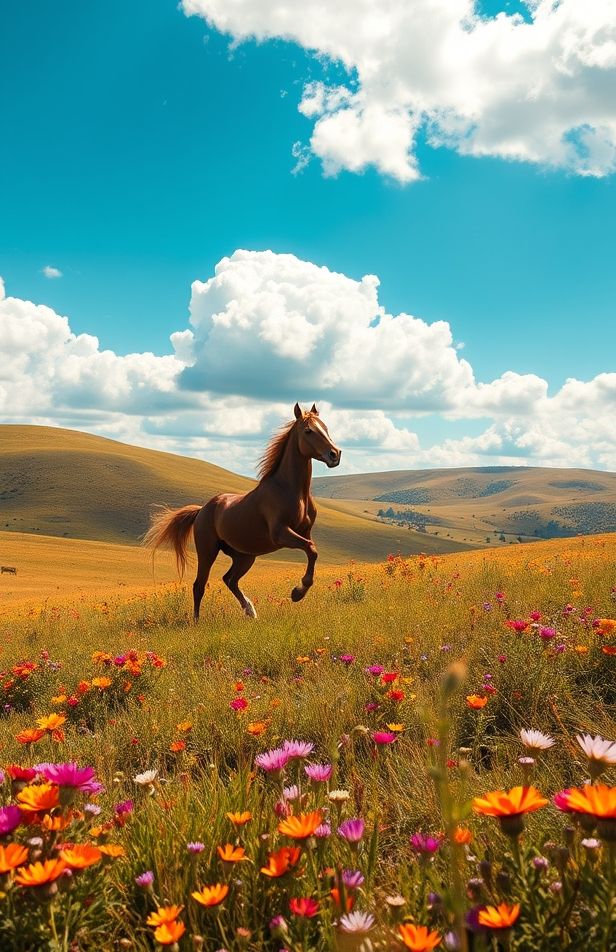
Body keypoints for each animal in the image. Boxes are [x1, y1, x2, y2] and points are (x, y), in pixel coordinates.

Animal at [143, 403, 341, 621]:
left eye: (326, 427)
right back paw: (196, 621)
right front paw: (297, 593)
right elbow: (311, 549)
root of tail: (202, 510)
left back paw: (250, 610)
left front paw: (298, 591)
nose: (335, 454)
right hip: (208, 551)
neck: (289, 490)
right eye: (308, 431)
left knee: (229, 579)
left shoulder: (305, 532)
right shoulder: (280, 533)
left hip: (245, 556)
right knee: (199, 585)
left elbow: (312, 551)